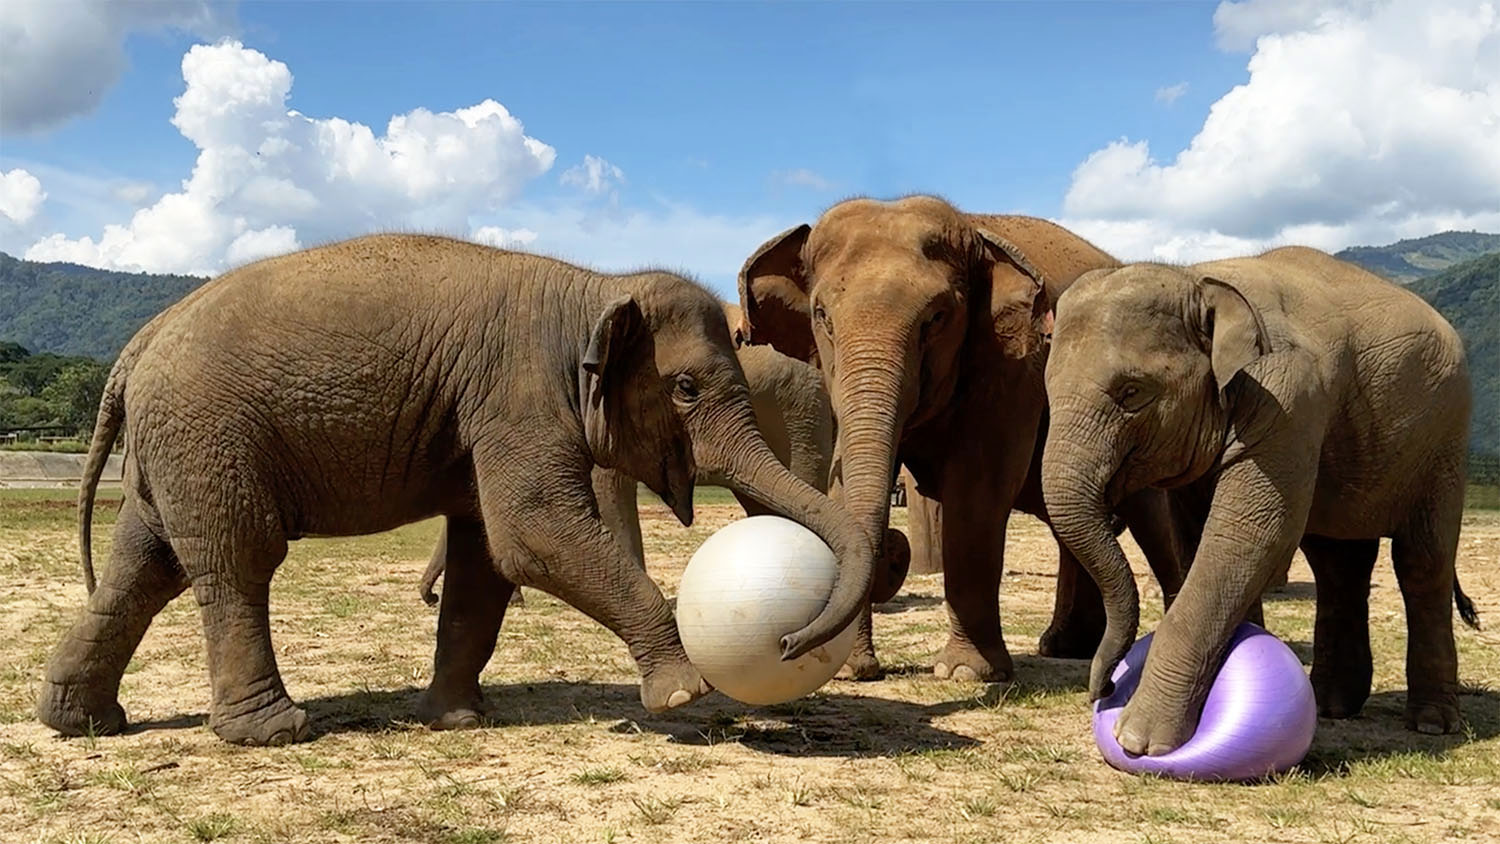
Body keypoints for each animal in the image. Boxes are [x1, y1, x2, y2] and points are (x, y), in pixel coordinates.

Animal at [38, 234, 877, 746]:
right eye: (687, 387)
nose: (791, 639)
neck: (595, 287)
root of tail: (135, 347)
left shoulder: (489, 415)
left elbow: (488, 558)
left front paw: (456, 721)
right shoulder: (518, 396)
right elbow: (531, 534)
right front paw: (683, 696)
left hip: (179, 446)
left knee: (144, 563)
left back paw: (79, 721)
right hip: (209, 433)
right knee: (236, 561)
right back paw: (275, 732)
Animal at [738, 194, 1187, 681]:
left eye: (935, 318)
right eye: (822, 317)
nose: (787, 644)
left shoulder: (1012, 366)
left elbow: (977, 491)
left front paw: (966, 672)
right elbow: (841, 489)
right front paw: (848, 669)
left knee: (1149, 517)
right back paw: (1066, 647)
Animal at [1040, 246, 1480, 756]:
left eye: (1131, 392)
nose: (1105, 689)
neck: (1199, 280)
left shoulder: (1287, 399)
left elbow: (1247, 536)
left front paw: (1139, 741)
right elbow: (1198, 540)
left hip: (1444, 440)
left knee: (1422, 564)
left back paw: (1431, 723)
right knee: (1338, 564)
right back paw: (1331, 706)